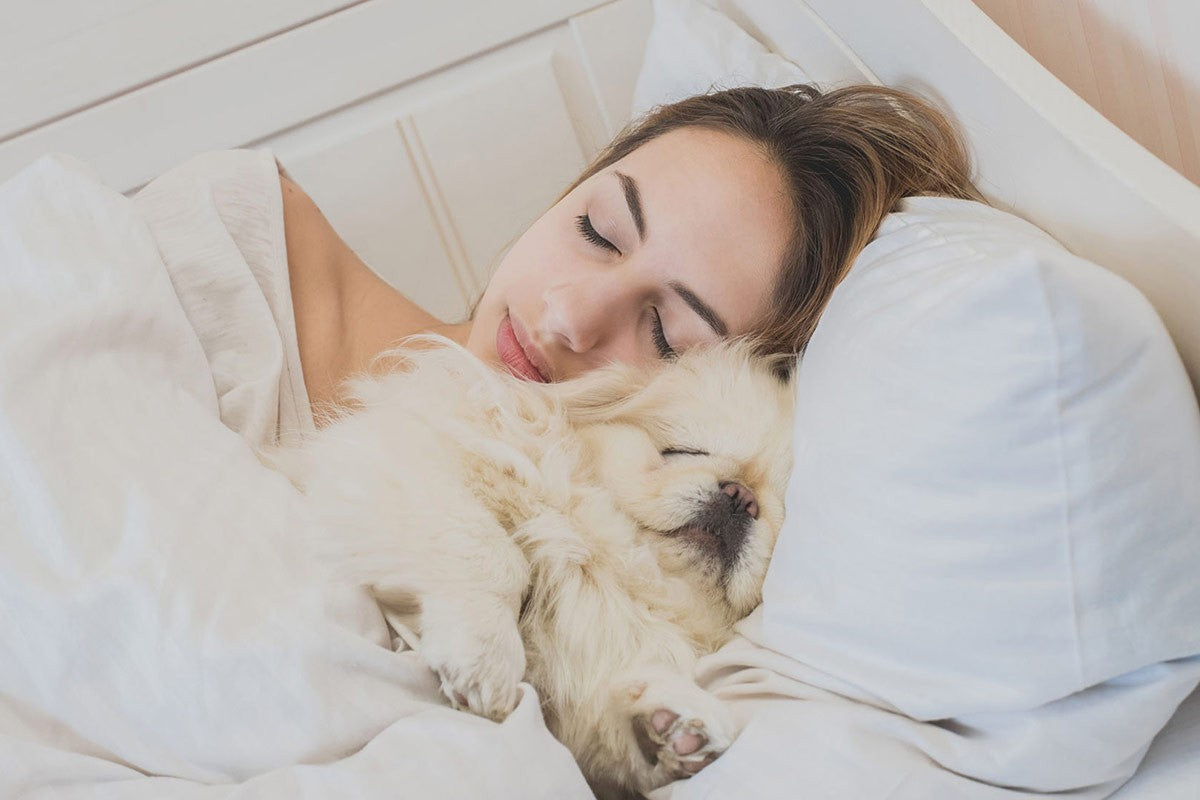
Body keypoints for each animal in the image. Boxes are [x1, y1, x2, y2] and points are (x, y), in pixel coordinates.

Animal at [270, 340, 796, 800]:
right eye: (682, 451)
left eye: (780, 514)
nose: (740, 497)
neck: (614, 570)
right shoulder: (399, 463)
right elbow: (493, 552)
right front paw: (485, 658)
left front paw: (672, 725)